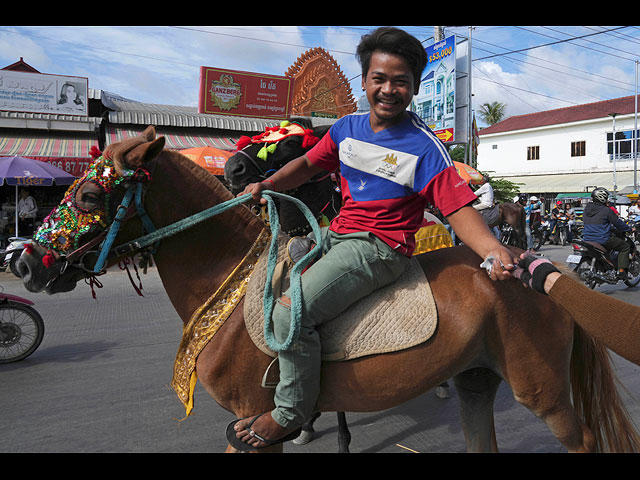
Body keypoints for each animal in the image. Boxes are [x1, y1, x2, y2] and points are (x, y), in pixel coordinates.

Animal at [15, 125, 640, 452]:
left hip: (545, 393)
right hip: (478, 379)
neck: (229, 285)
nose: (25, 263)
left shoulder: (250, 423)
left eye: (89, 197)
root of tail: (533, 267)